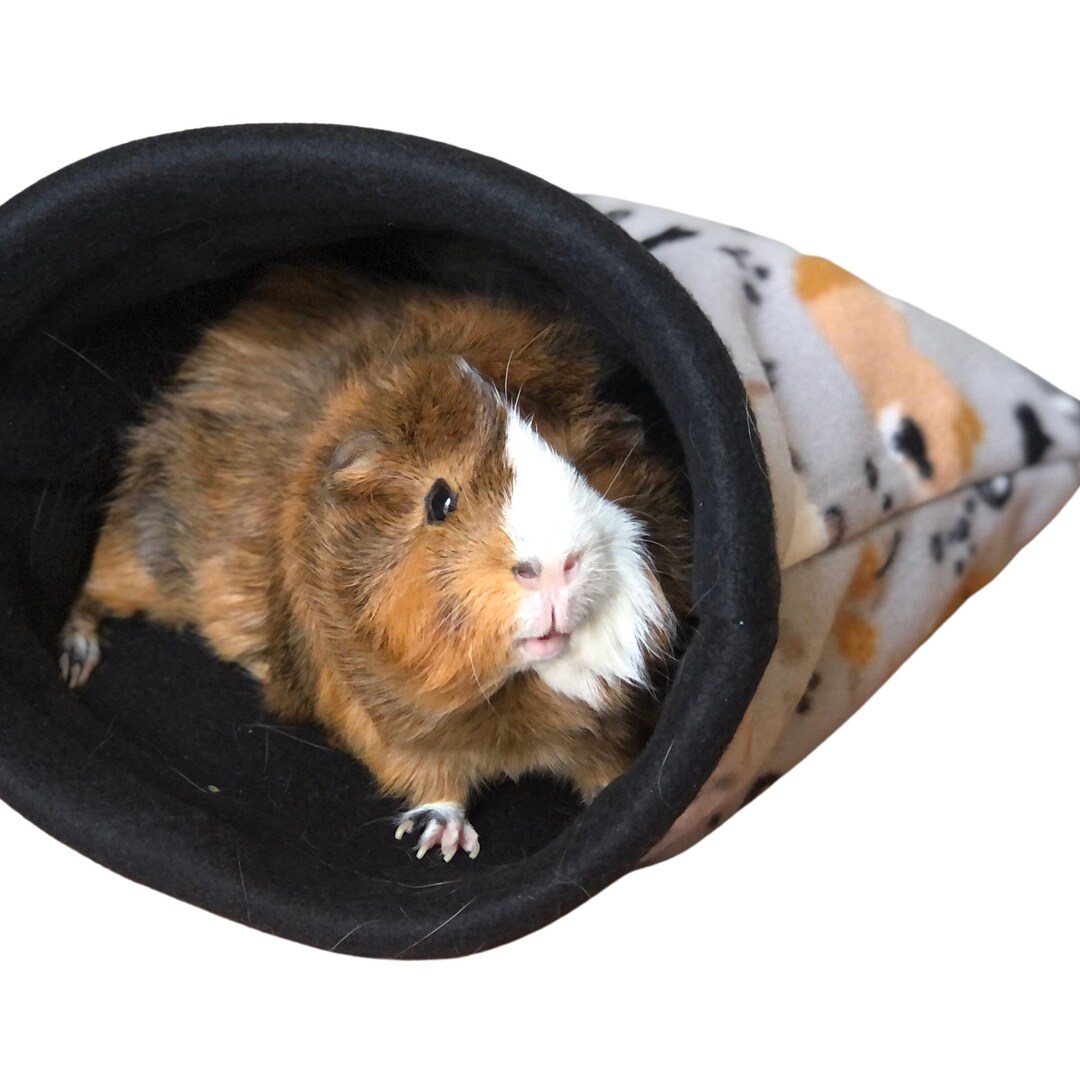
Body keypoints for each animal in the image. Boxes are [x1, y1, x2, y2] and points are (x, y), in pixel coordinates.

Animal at [58, 263, 692, 861]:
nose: (555, 565)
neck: (513, 701)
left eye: (583, 468)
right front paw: (443, 845)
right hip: (137, 558)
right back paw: (75, 662)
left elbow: (607, 766)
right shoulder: (387, 732)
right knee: (92, 592)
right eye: (440, 500)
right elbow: (436, 784)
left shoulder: (608, 732)